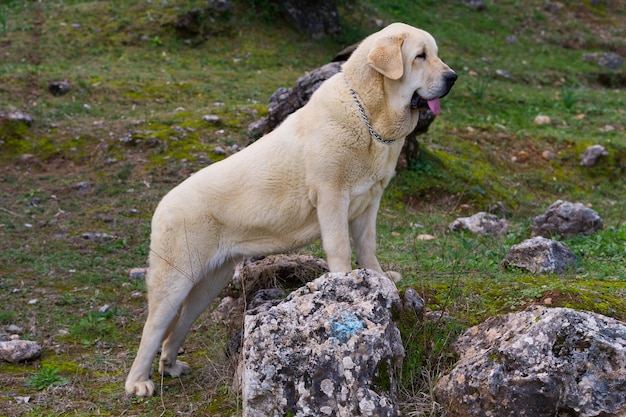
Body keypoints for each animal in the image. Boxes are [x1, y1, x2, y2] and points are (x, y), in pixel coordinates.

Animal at [124, 22, 456, 394]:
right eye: (419, 57)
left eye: (434, 54)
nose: (453, 77)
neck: (369, 114)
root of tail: (162, 205)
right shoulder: (332, 196)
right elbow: (340, 247)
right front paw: (345, 285)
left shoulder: (369, 203)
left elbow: (367, 246)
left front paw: (380, 278)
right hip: (176, 277)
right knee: (154, 327)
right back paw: (138, 383)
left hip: (209, 283)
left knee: (178, 324)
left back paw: (169, 365)